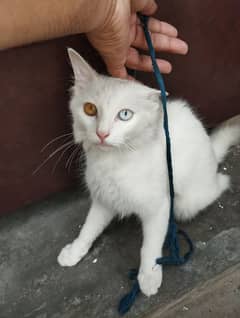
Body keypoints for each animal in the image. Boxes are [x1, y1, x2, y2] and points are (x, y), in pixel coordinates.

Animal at [58, 48, 240, 296]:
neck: (114, 161)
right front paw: (75, 251)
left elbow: (150, 246)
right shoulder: (104, 199)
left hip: (183, 204)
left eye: (125, 115)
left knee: (219, 184)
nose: (102, 134)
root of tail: (211, 148)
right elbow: (89, 227)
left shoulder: (160, 206)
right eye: (89, 109)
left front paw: (149, 277)